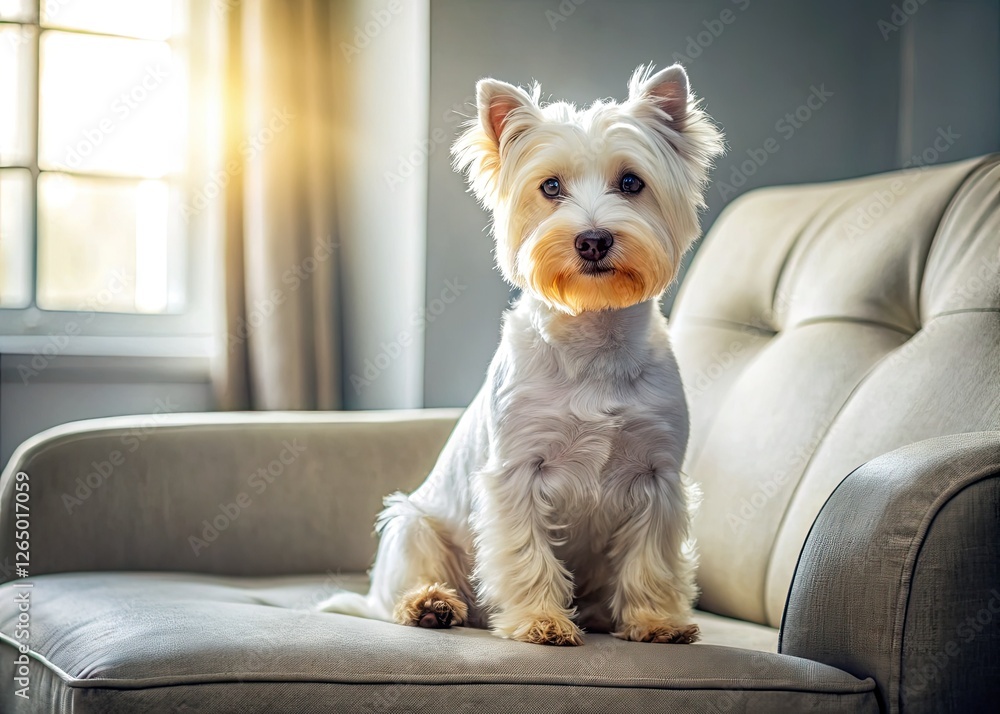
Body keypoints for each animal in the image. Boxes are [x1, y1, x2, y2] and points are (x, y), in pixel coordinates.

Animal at [324, 64, 724, 644]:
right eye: (550, 186)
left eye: (631, 182)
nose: (593, 240)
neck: (594, 340)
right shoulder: (517, 472)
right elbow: (525, 552)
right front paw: (541, 621)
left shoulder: (658, 475)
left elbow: (651, 558)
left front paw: (655, 621)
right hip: (411, 523)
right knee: (407, 578)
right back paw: (429, 605)